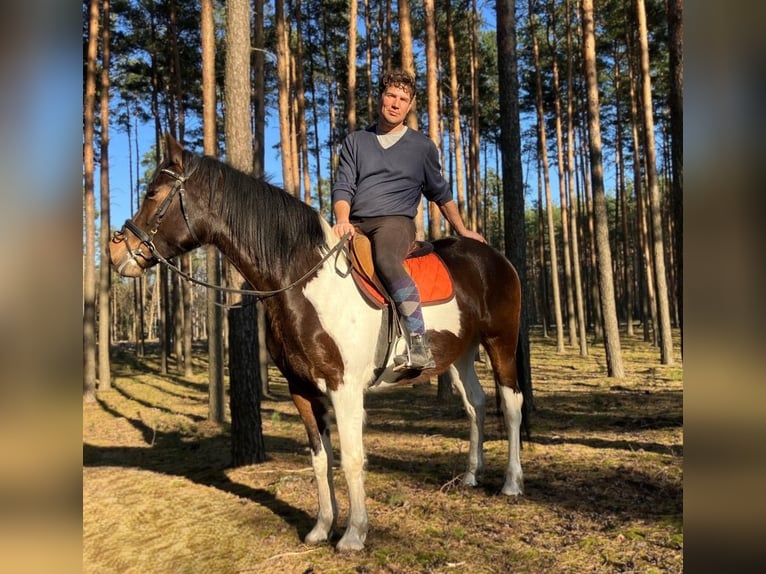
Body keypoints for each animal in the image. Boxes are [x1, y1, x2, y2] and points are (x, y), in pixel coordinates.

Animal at [108, 133, 525, 552]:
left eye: (152, 192)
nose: (114, 251)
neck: (304, 279)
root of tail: (493, 256)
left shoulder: (345, 389)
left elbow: (352, 458)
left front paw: (354, 534)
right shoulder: (302, 389)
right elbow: (320, 459)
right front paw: (322, 527)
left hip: (501, 342)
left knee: (511, 404)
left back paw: (511, 482)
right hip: (460, 354)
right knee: (475, 403)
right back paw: (471, 475)